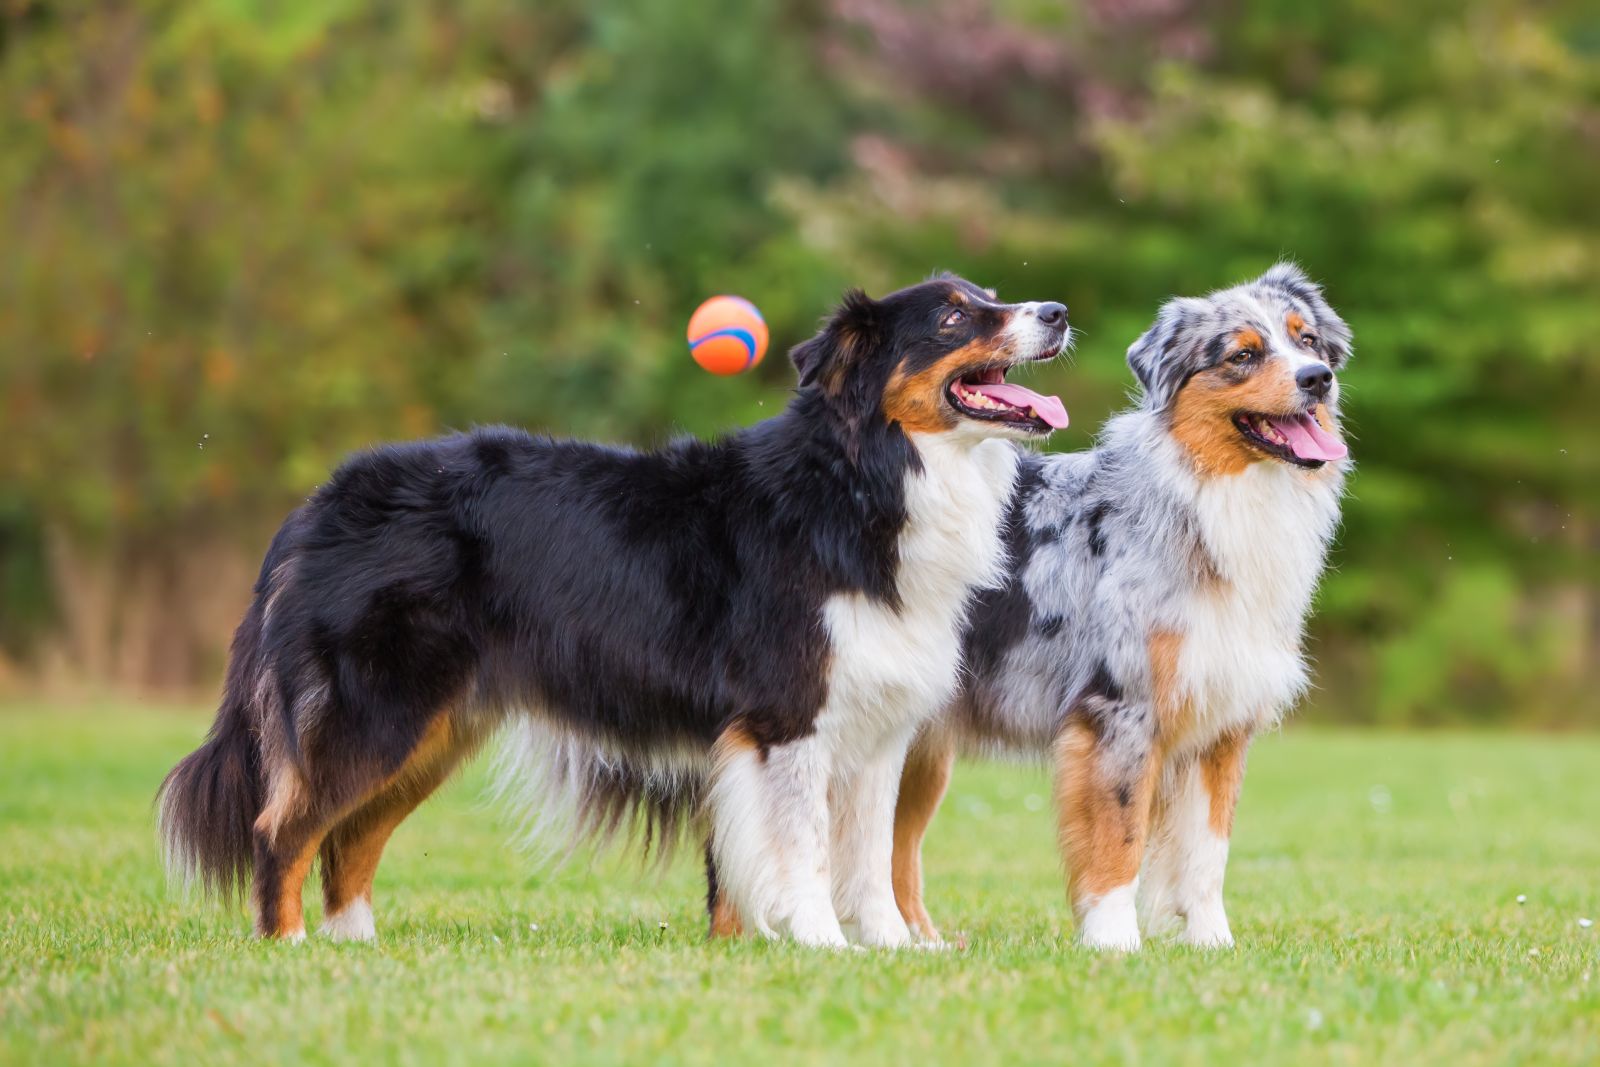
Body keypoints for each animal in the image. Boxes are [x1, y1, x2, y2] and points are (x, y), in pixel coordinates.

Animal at [156, 278, 1068, 953]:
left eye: (991, 294)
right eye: (953, 315)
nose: (1057, 313)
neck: (864, 478)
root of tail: (318, 503)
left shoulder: (878, 727)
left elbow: (872, 857)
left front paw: (892, 948)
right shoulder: (789, 719)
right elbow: (804, 845)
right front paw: (823, 943)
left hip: (434, 727)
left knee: (348, 839)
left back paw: (355, 950)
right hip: (377, 707)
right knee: (284, 826)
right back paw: (289, 946)